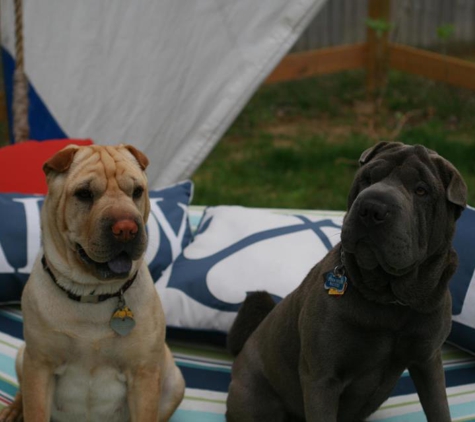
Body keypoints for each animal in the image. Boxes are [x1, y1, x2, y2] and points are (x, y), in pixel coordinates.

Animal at [227, 143, 468, 422]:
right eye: (367, 178)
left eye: (421, 190)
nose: (372, 207)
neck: (390, 299)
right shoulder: (322, 378)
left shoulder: (427, 361)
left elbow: (439, 408)